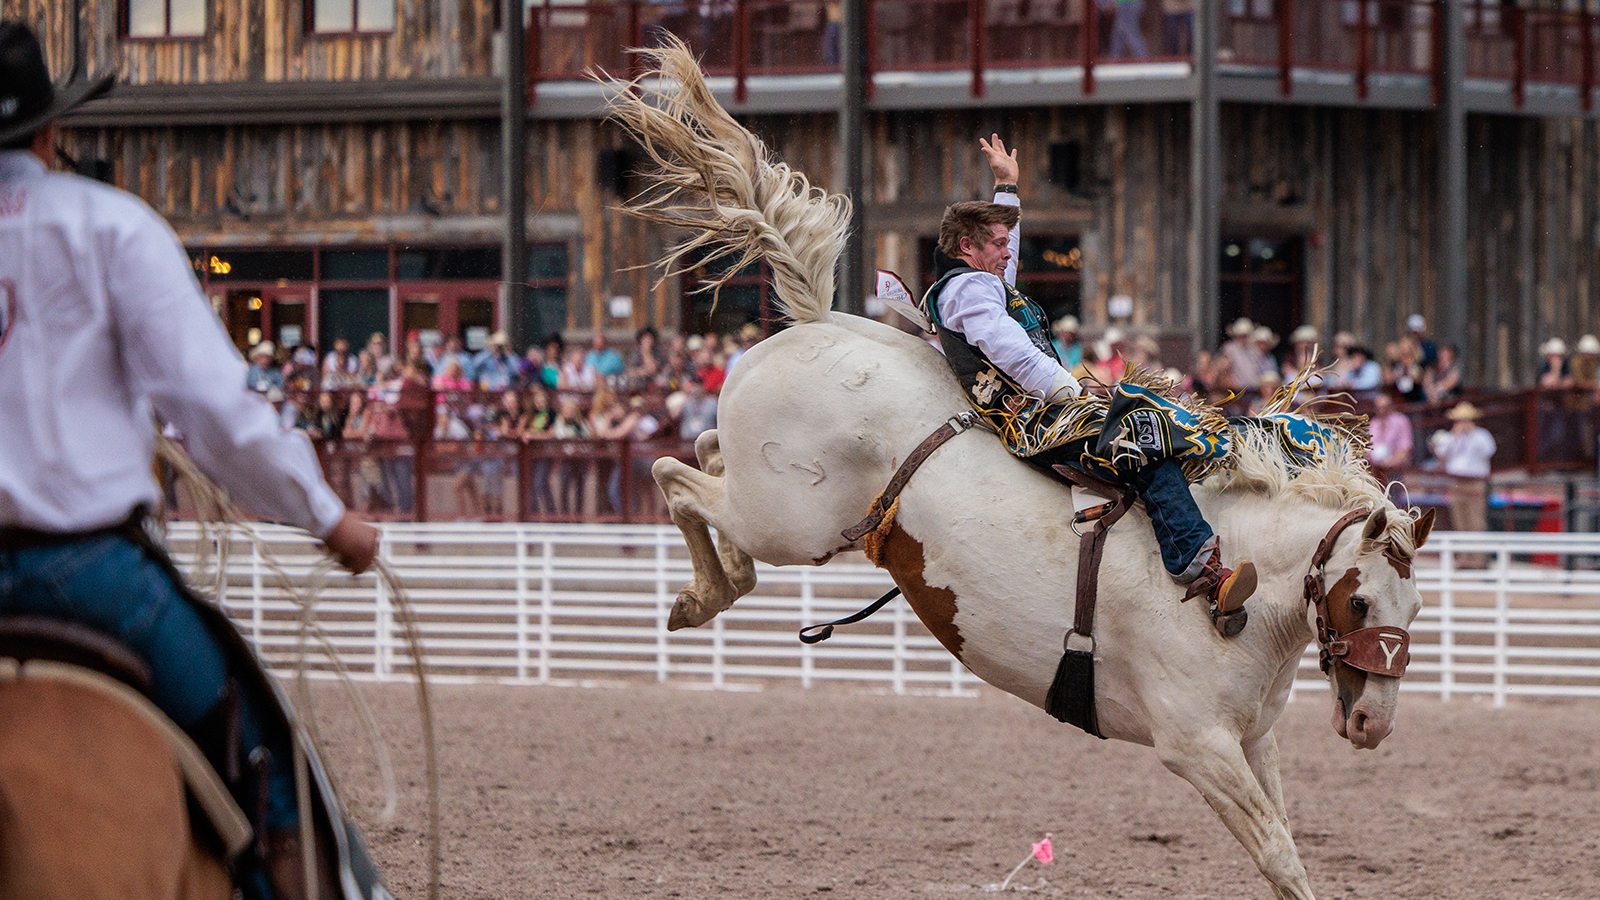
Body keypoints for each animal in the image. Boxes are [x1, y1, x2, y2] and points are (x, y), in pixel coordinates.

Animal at [604, 40, 1433, 896]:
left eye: (1416, 608)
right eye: (1361, 602)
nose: (1372, 724)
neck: (1248, 590)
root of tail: (814, 320)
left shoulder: (1254, 741)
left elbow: (1285, 845)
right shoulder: (1196, 744)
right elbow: (1277, 851)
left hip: (783, 503)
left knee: (703, 458)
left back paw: (712, 582)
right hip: (786, 519)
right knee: (674, 474)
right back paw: (702, 595)